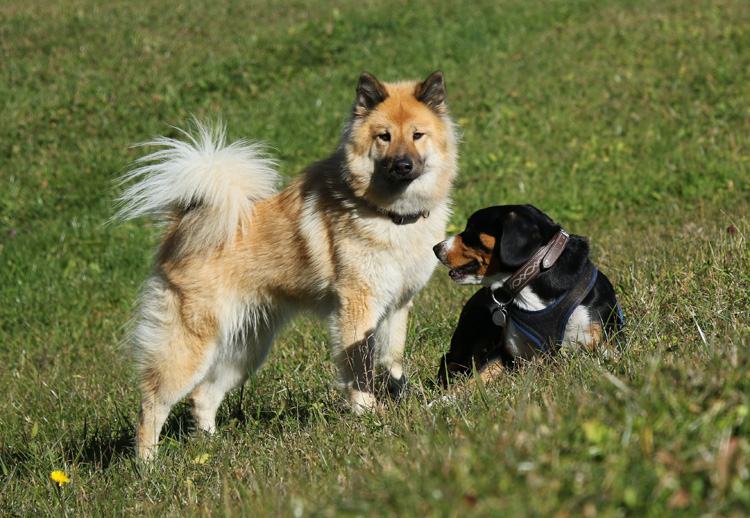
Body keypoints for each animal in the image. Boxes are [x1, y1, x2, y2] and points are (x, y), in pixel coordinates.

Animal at [432, 206, 624, 390]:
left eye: (471, 228)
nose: (435, 248)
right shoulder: (505, 351)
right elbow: (474, 380)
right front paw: (447, 398)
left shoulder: (603, 341)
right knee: (448, 361)